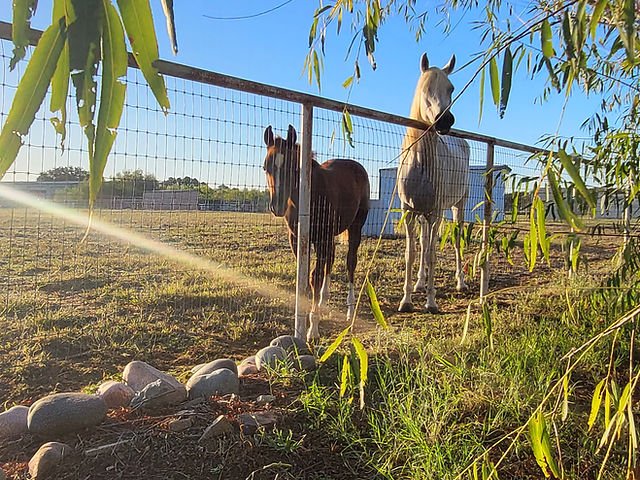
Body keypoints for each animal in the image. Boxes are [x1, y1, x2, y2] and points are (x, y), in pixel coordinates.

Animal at [263, 124, 370, 342]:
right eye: (265, 167)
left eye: (293, 168)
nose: (277, 207)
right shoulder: (297, 239)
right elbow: (304, 277)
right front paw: (304, 320)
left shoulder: (321, 238)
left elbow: (314, 277)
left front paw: (312, 329)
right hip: (330, 236)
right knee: (331, 260)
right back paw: (323, 301)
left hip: (354, 227)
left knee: (350, 262)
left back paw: (349, 310)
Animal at [397, 53, 470, 313]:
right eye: (425, 88)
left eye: (451, 88)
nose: (445, 120)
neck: (420, 162)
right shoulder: (409, 211)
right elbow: (411, 252)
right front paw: (407, 300)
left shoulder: (436, 212)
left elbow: (431, 254)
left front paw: (431, 302)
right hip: (423, 215)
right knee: (424, 240)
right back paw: (420, 282)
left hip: (456, 206)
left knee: (455, 242)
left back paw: (460, 282)